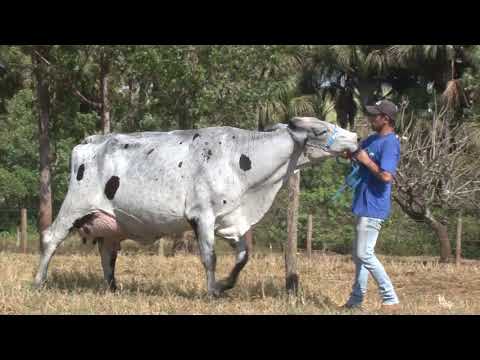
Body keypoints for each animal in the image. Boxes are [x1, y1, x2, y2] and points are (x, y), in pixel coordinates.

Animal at [33, 116, 356, 296]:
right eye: (321, 130)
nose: (355, 137)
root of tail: (90, 140)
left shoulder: (232, 219)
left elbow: (243, 257)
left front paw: (226, 285)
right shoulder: (202, 216)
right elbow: (209, 257)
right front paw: (213, 290)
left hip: (113, 223)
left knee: (107, 252)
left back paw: (113, 288)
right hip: (74, 205)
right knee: (50, 238)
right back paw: (39, 281)